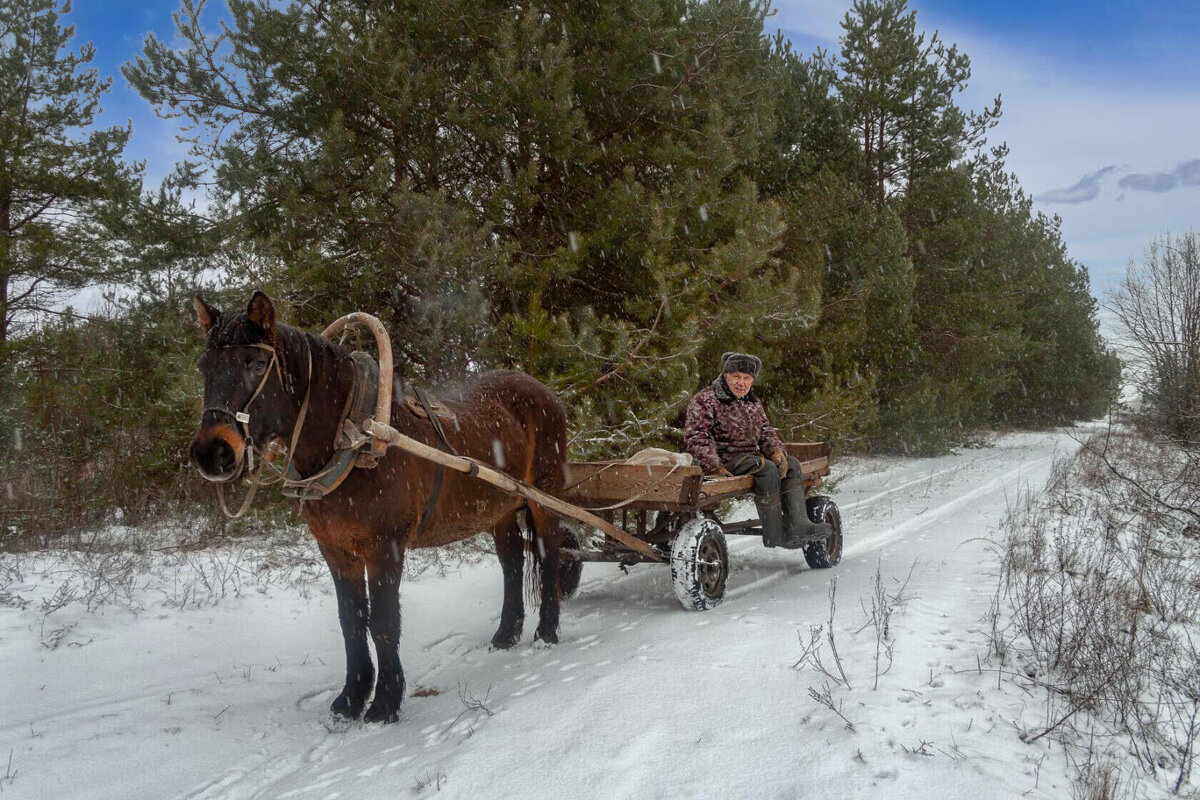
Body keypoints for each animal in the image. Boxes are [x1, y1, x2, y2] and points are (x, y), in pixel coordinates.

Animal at [189, 291, 573, 724]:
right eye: (205, 367)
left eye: (256, 364)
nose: (211, 453)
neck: (354, 437)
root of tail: (544, 390)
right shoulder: (335, 549)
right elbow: (351, 621)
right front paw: (351, 698)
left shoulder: (384, 546)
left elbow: (383, 621)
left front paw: (385, 702)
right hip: (500, 507)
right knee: (512, 563)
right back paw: (506, 634)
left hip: (543, 496)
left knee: (549, 554)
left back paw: (546, 632)